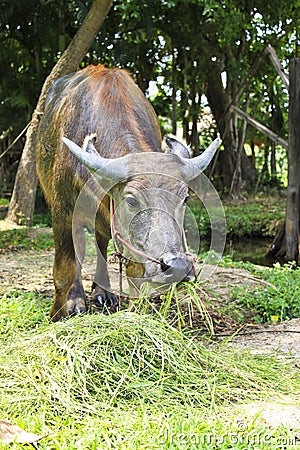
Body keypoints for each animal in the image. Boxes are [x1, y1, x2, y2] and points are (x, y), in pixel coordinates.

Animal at [36, 65, 220, 322]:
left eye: (185, 198)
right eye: (131, 200)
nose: (178, 267)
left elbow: (135, 275)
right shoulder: (63, 212)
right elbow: (65, 269)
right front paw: (57, 315)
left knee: (101, 245)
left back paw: (103, 292)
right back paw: (77, 299)